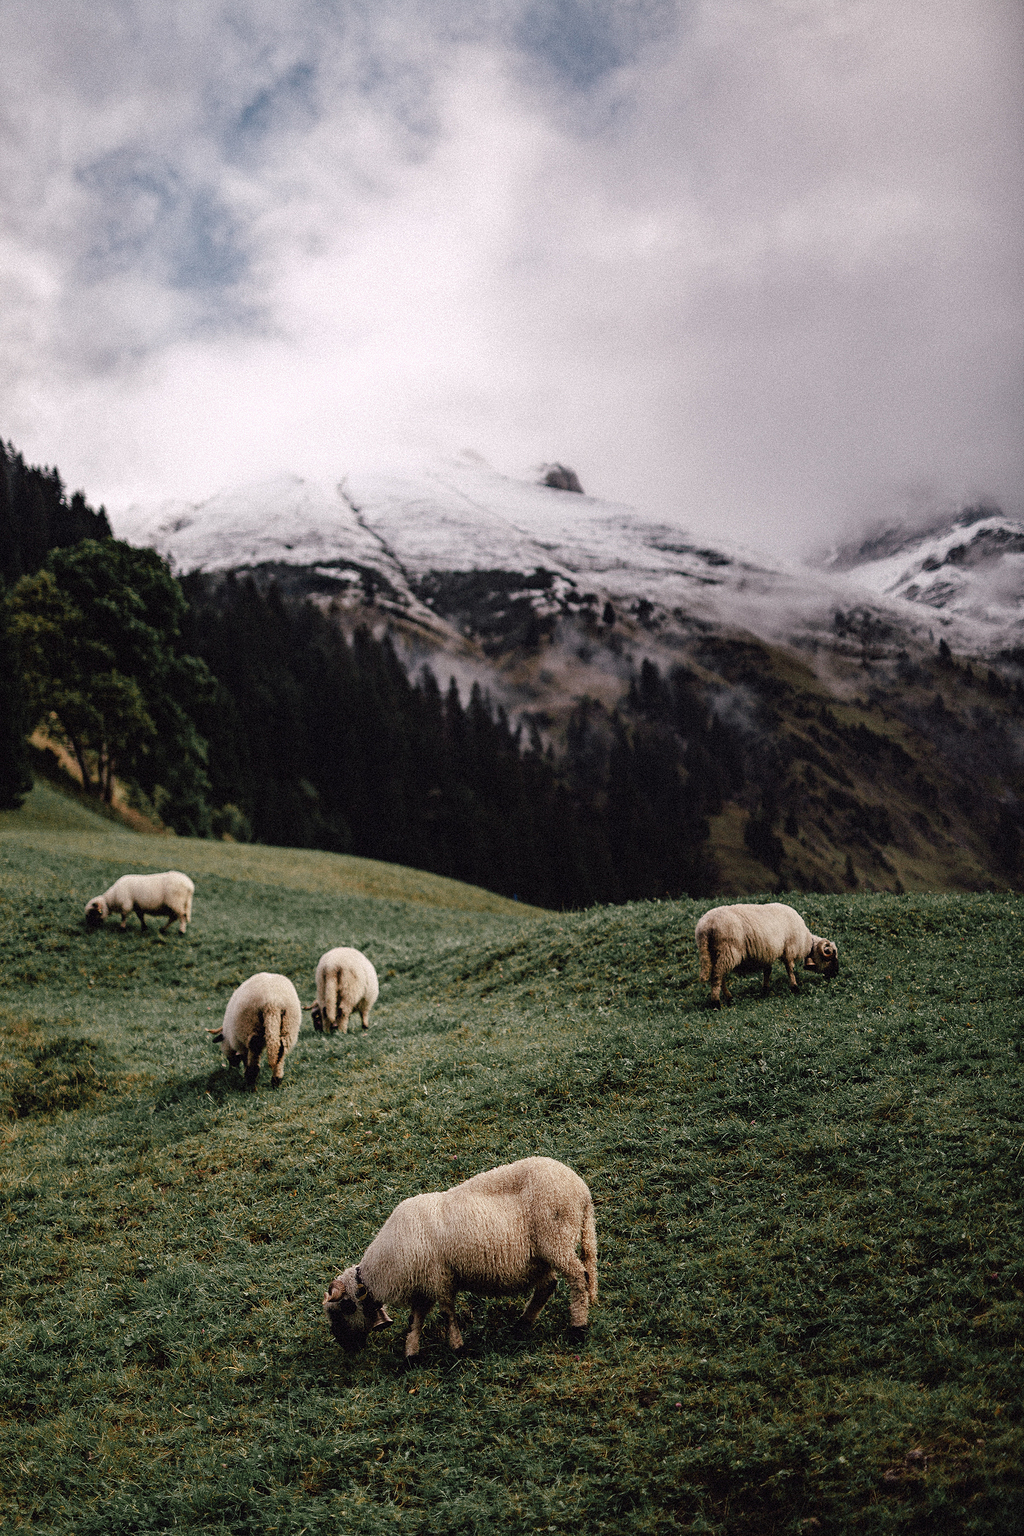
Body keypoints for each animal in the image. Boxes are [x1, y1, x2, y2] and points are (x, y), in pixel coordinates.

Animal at [323, 1155, 595, 1370]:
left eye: (341, 1311)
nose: (347, 1348)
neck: (382, 1269)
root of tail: (582, 1190)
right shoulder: (423, 1288)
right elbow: (415, 1321)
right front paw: (411, 1356)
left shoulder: (439, 1279)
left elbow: (446, 1314)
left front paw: (457, 1348)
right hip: (541, 1255)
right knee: (548, 1286)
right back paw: (522, 1324)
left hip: (556, 1239)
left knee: (578, 1277)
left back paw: (578, 1327)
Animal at [696, 897, 841, 1007]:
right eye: (831, 957)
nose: (835, 974)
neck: (806, 941)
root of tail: (705, 927)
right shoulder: (789, 949)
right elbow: (790, 969)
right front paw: (794, 987)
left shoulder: (768, 953)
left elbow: (767, 971)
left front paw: (765, 989)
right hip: (727, 951)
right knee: (717, 976)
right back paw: (716, 1002)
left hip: (715, 953)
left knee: (720, 976)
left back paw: (729, 997)